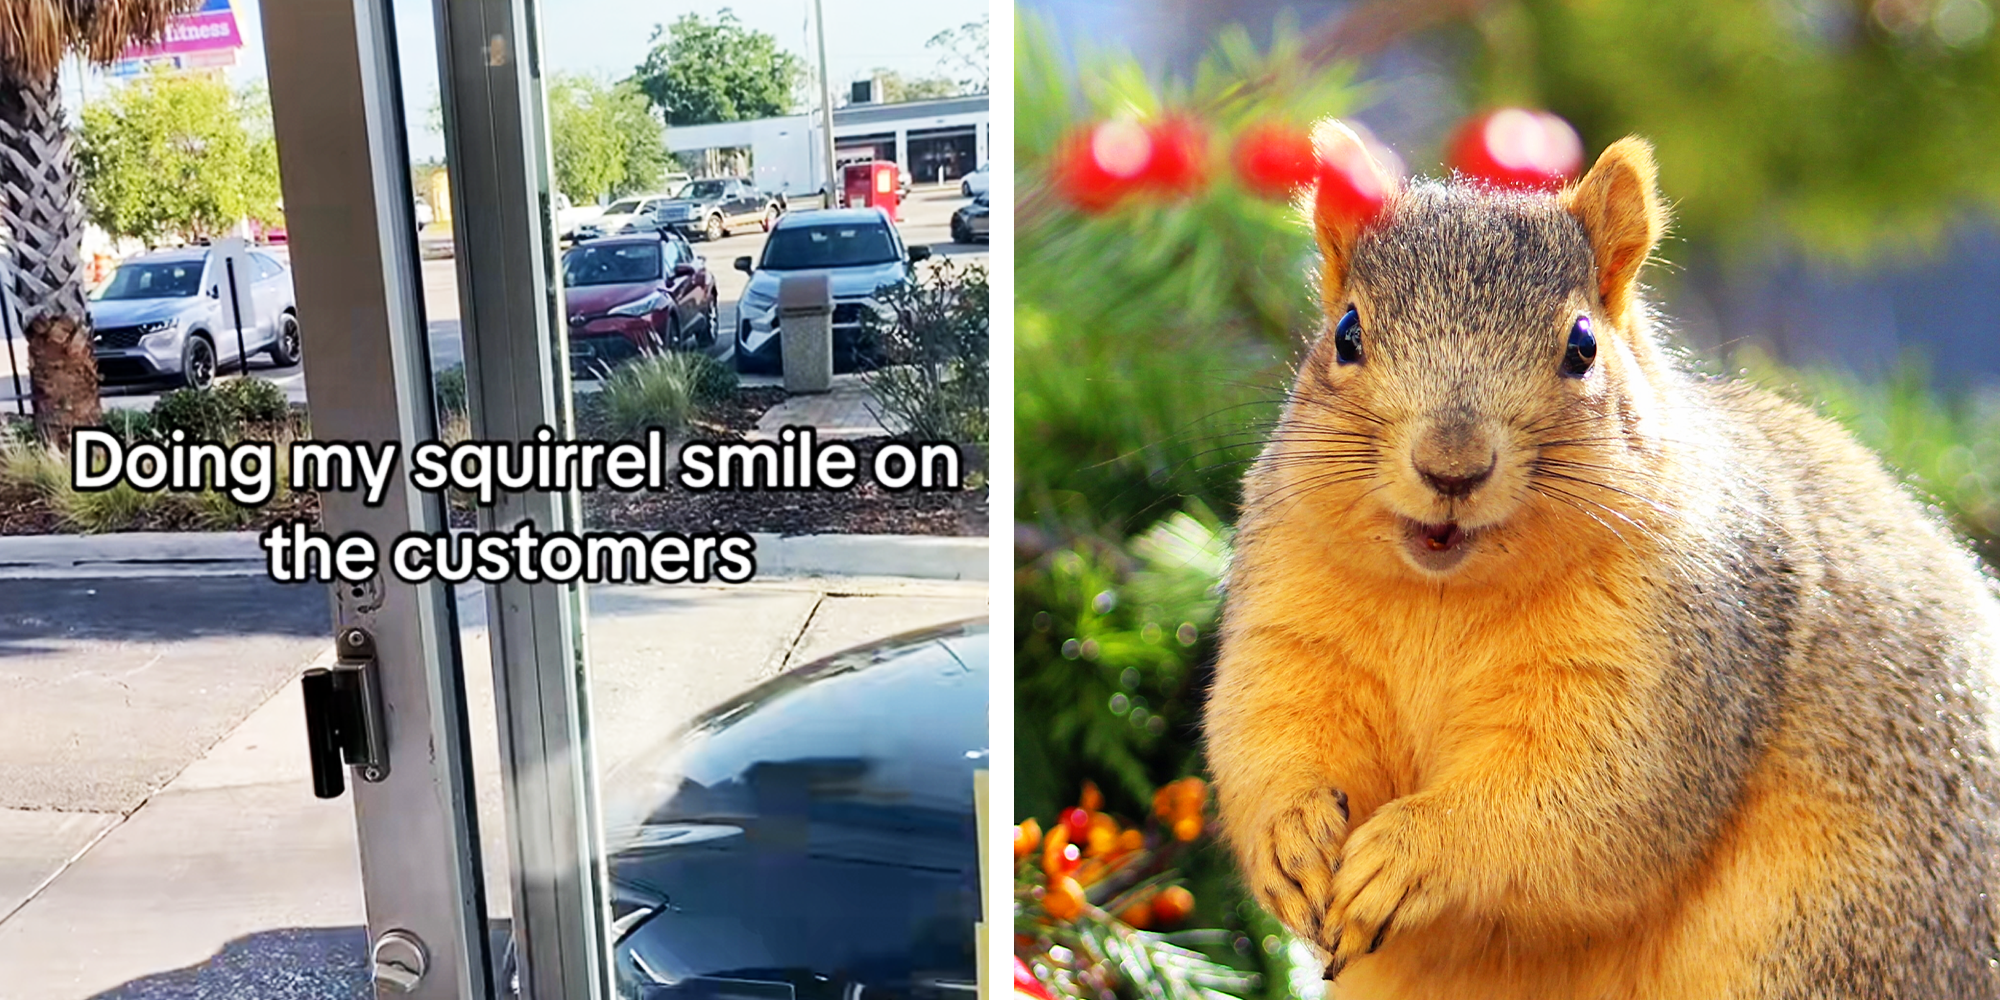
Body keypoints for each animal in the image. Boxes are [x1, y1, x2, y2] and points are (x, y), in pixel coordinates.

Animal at [1202, 125, 2000, 999]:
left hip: (1823, 943)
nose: (1453, 467)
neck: (1444, 595)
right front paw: (1290, 835)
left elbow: (1589, 801)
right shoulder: (1292, 623)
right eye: (1346, 334)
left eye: (1582, 347)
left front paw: (1415, 852)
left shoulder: (1682, 654)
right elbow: (1267, 731)